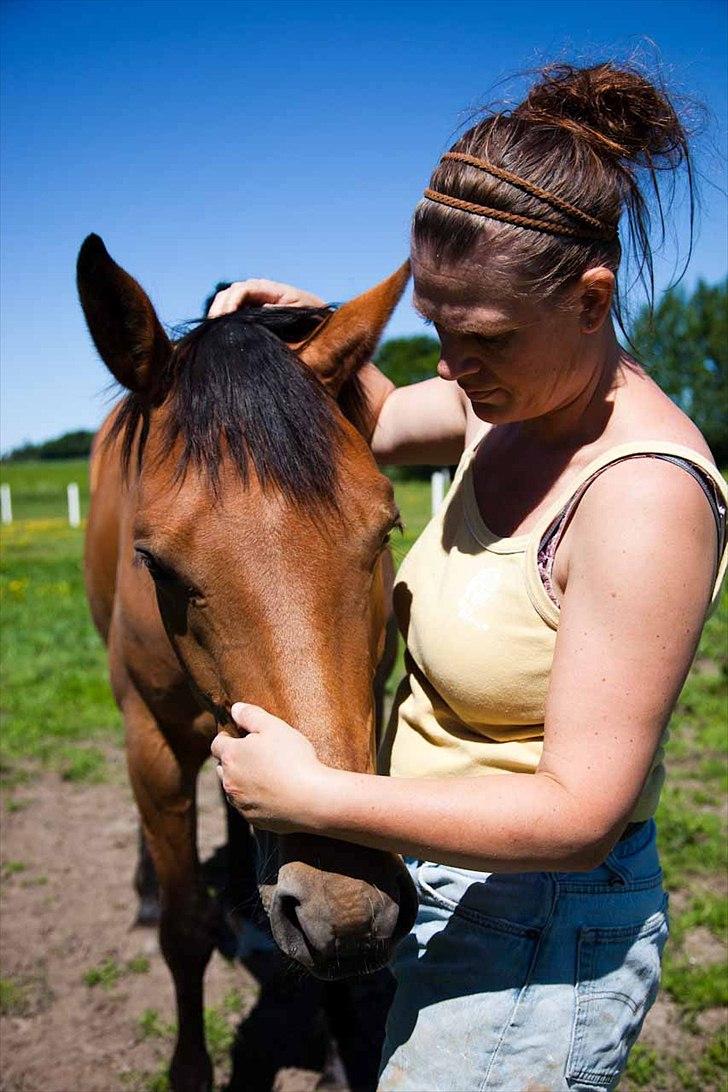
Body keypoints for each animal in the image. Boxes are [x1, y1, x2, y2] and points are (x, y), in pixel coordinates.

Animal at [76, 236, 419, 1092]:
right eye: (154, 563)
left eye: (387, 528)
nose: (347, 911)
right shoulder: (154, 742)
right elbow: (184, 930)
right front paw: (190, 1068)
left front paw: (338, 1059)